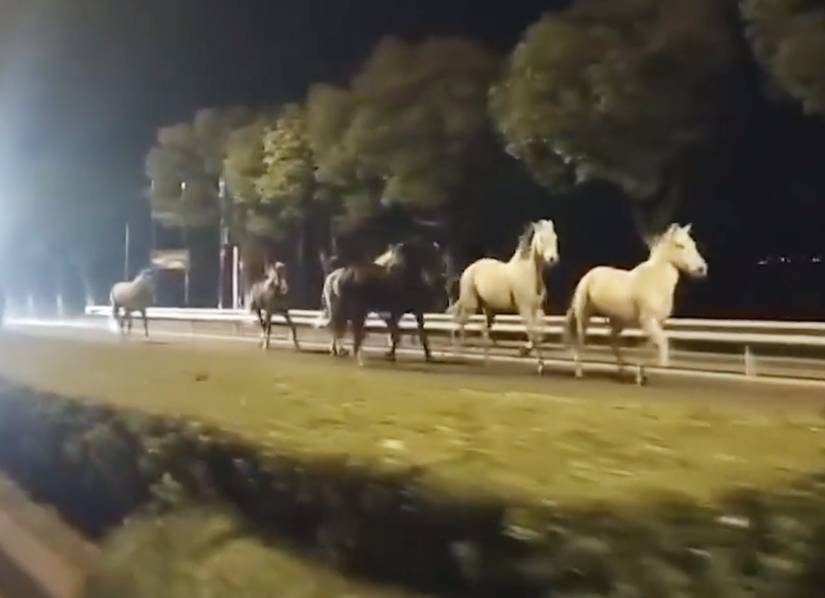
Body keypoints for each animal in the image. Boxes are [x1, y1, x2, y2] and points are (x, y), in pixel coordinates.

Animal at [450, 220, 560, 376]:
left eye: (555, 238)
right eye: (541, 239)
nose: (552, 259)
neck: (528, 273)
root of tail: (469, 268)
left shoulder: (538, 309)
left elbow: (541, 334)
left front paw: (533, 359)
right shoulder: (524, 309)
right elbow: (533, 333)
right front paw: (529, 357)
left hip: (489, 311)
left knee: (483, 329)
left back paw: (486, 362)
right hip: (471, 303)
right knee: (460, 321)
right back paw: (458, 353)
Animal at [568, 223, 708, 382]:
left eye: (693, 244)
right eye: (680, 245)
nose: (702, 269)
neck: (656, 280)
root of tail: (587, 276)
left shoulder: (656, 323)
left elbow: (649, 347)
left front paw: (641, 376)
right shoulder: (648, 321)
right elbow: (663, 342)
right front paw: (662, 366)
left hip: (618, 322)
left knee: (613, 341)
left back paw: (622, 371)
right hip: (584, 316)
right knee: (581, 340)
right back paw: (579, 372)